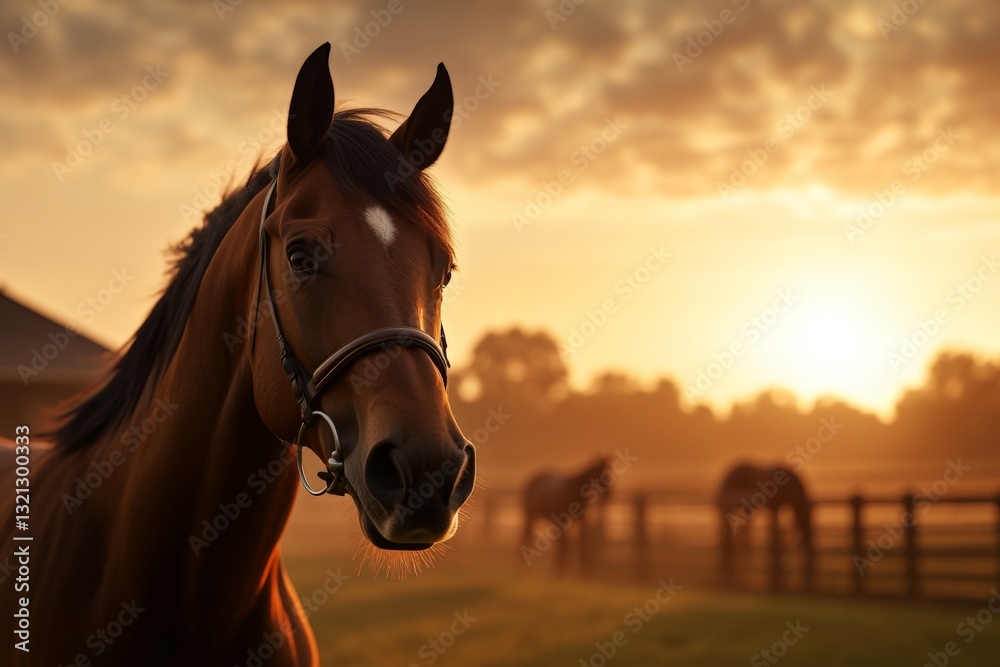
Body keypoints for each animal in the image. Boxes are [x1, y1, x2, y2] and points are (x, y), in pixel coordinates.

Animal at [716, 463, 814, 591]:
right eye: (806, 527)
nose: (808, 544)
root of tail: (725, 477)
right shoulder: (775, 507)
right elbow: (775, 541)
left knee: (734, 542)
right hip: (731, 510)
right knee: (728, 543)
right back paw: (728, 580)